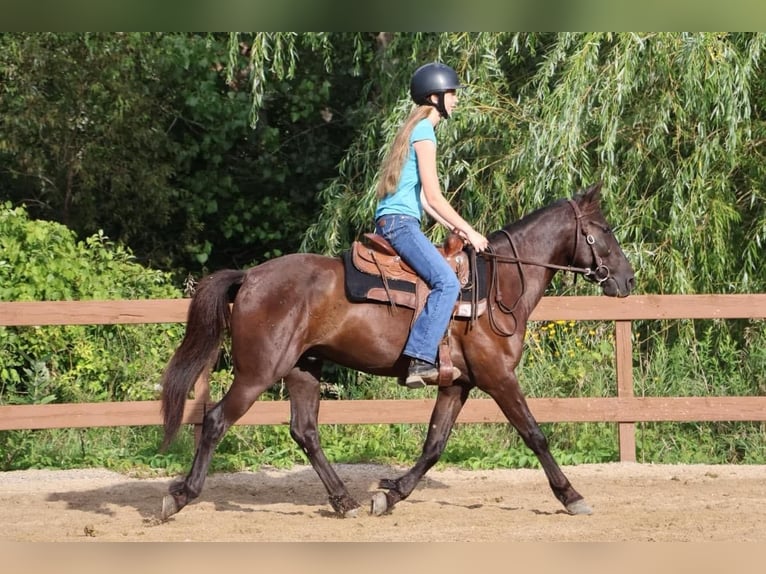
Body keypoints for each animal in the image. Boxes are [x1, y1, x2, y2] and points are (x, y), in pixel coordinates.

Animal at [159, 181, 635, 520]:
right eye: (605, 231)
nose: (627, 280)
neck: (499, 284)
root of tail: (251, 278)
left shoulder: (457, 384)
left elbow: (434, 445)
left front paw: (390, 496)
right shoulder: (499, 377)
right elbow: (535, 434)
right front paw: (571, 495)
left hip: (303, 370)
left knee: (305, 432)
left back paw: (345, 501)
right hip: (258, 372)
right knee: (216, 421)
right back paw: (179, 497)